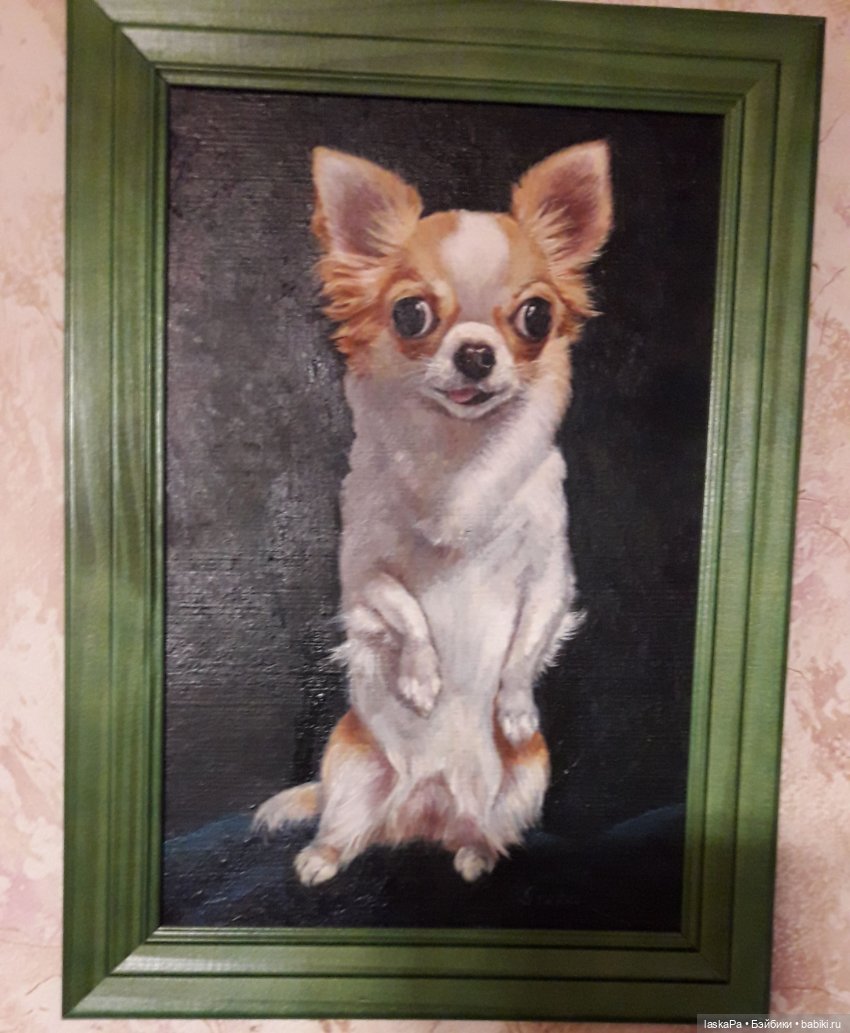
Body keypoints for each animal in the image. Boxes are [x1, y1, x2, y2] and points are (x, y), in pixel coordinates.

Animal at [254, 142, 613, 885]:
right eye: (412, 315)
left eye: (535, 317)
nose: (475, 351)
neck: (459, 459)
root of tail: (423, 810)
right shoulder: (362, 576)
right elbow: (403, 608)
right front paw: (422, 677)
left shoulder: (550, 578)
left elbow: (526, 642)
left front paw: (514, 705)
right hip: (352, 768)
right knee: (349, 828)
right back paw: (322, 856)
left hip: (522, 786)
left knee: (485, 830)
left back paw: (474, 853)